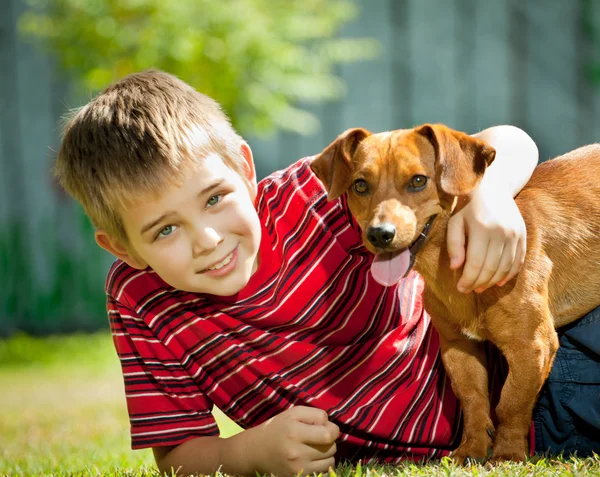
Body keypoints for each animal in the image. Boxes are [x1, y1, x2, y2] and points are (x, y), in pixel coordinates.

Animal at [310, 124, 600, 462]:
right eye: (360, 185)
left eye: (418, 181)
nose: (379, 234)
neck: (450, 271)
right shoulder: (458, 347)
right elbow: (474, 400)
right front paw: (471, 449)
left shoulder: (532, 345)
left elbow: (511, 402)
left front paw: (507, 454)